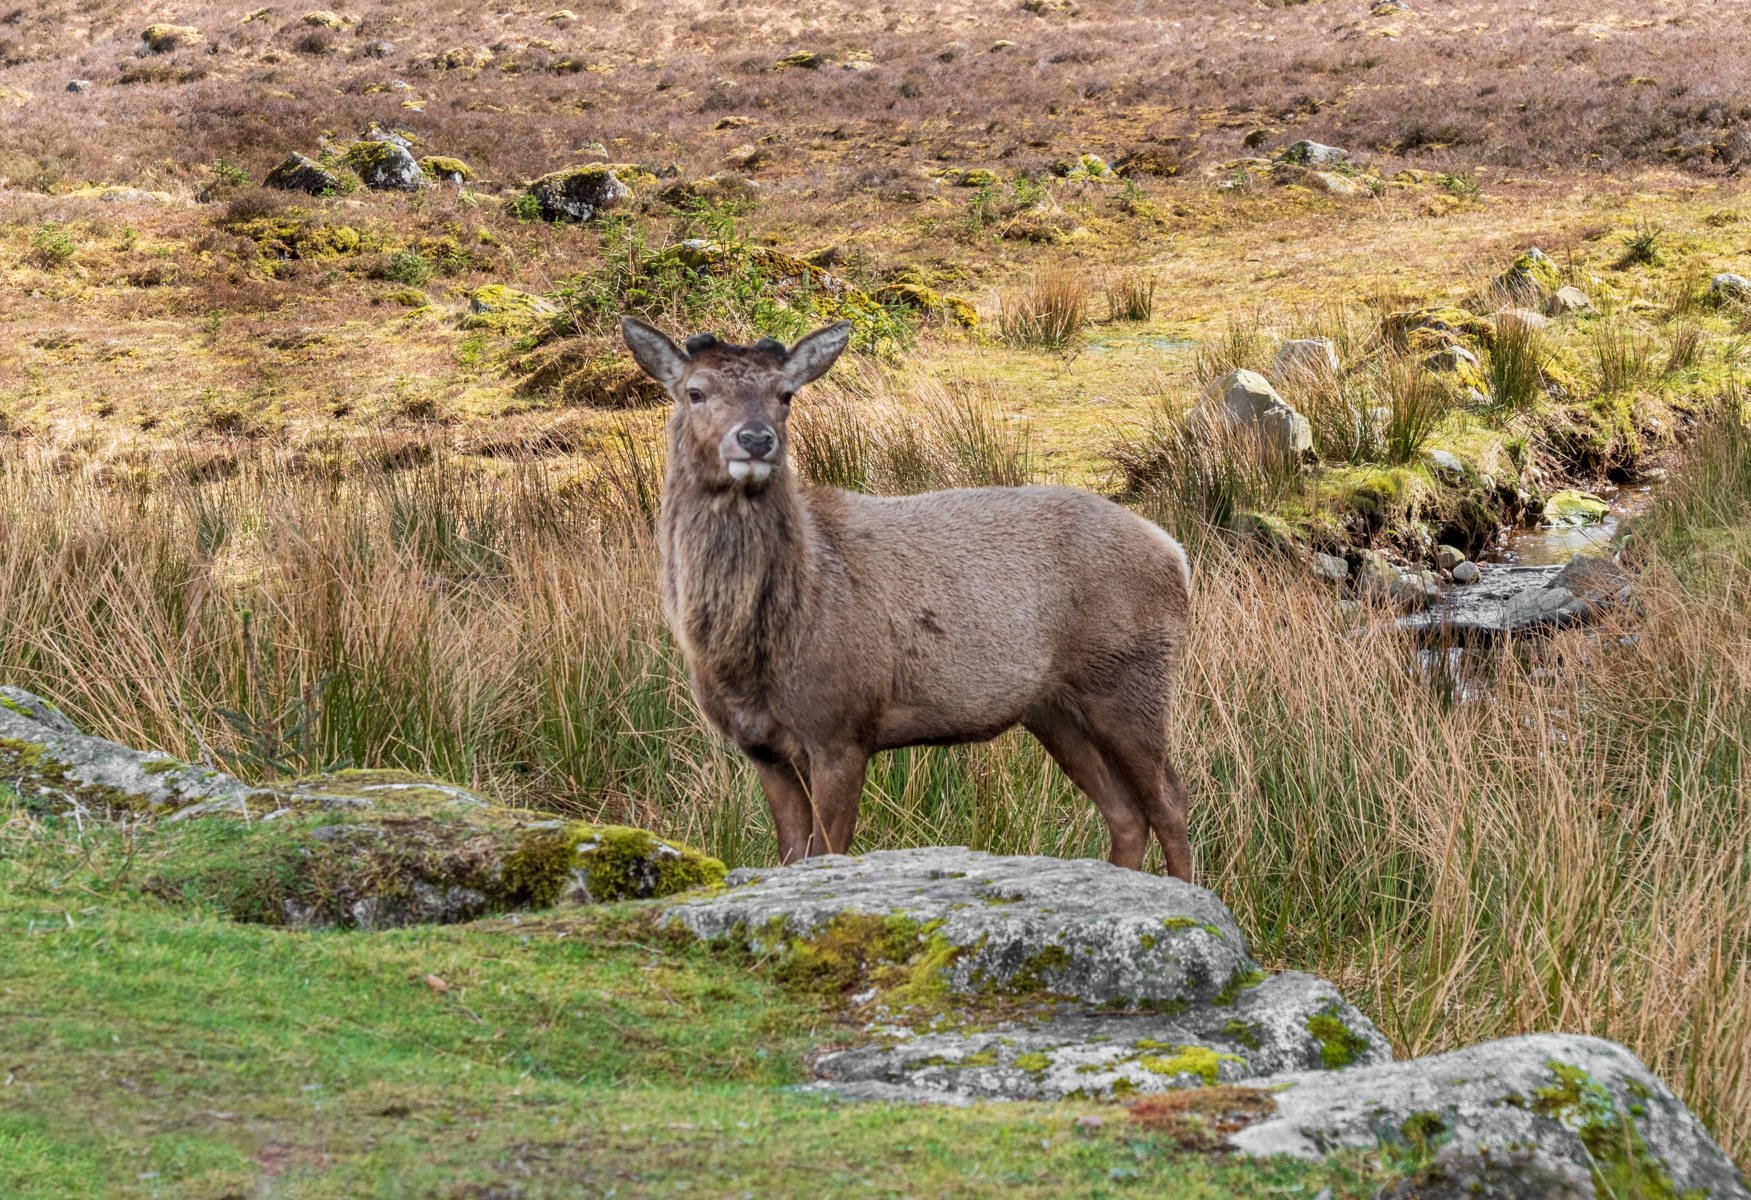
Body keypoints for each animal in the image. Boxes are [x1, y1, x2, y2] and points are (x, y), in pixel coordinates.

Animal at [622, 316, 1195, 878]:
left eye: (785, 394)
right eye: (695, 391)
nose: (756, 439)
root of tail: (1176, 554)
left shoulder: (842, 726)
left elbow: (827, 853)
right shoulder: (763, 749)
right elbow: (790, 857)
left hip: (1132, 677)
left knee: (1171, 801)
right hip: (1053, 709)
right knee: (1126, 813)